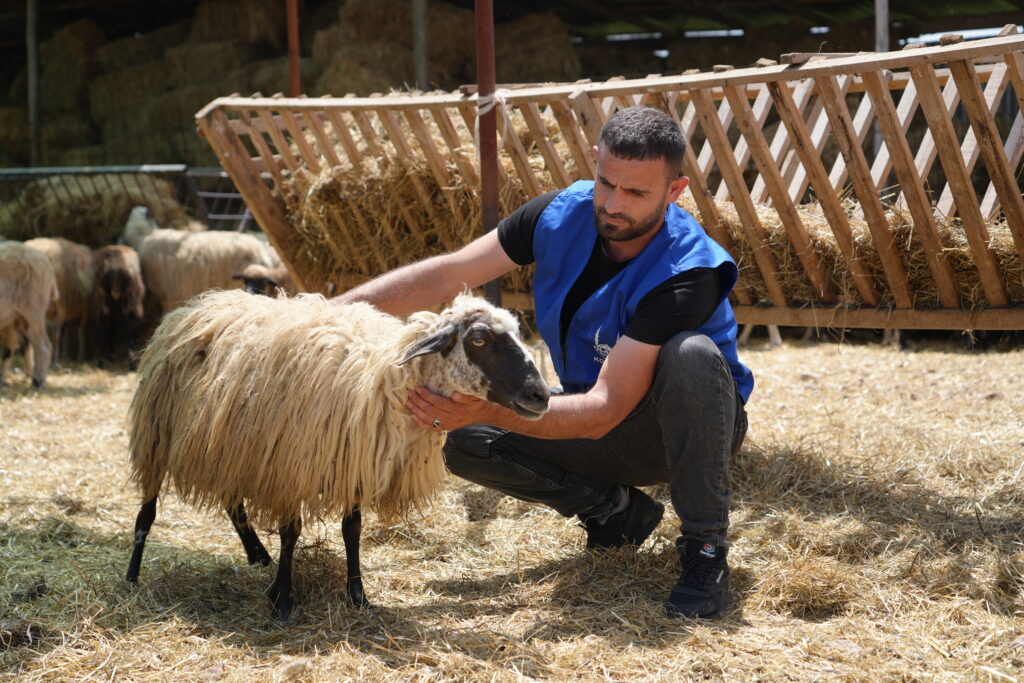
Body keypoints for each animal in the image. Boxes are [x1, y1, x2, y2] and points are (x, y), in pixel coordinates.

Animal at [24, 237, 94, 365]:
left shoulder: (61, 307)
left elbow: (56, 335)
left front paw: (54, 362)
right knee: (67, 331)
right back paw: (65, 355)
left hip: (84, 309)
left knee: (81, 330)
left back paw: (80, 356)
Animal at [125, 290, 550, 618]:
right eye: (478, 340)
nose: (541, 395)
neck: (382, 385)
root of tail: (197, 304)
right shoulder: (292, 467)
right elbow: (291, 532)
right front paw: (283, 598)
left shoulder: (354, 467)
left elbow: (352, 530)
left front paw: (358, 596)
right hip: (157, 435)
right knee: (148, 512)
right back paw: (131, 576)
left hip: (228, 445)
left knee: (233, 502)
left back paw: (257, 554)